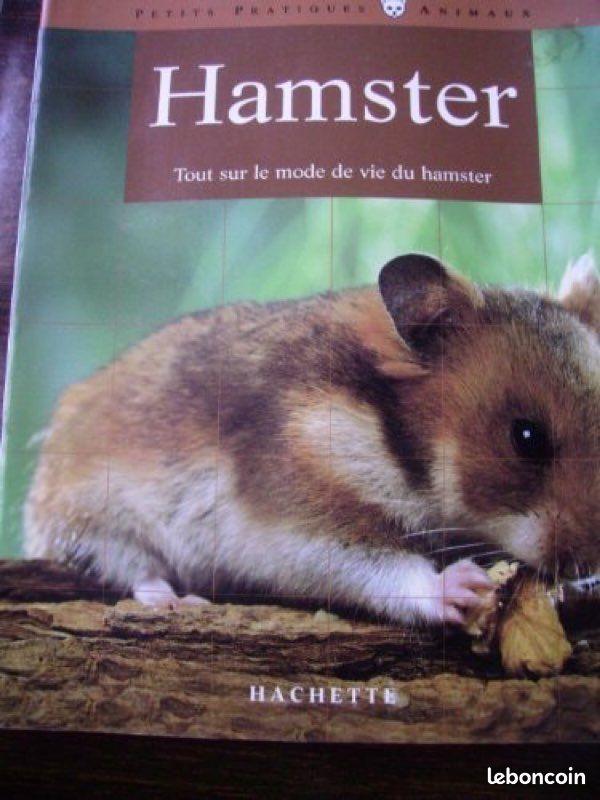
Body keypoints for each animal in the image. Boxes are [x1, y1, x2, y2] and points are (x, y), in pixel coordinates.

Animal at [24, 253, 600, 625]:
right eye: (526, 438)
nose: (593, 567)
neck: (391, 437)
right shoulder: (291, 522)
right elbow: (378, 566)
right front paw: (463, 587)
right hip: (89, 515)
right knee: (129, 568)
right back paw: (175, 601)